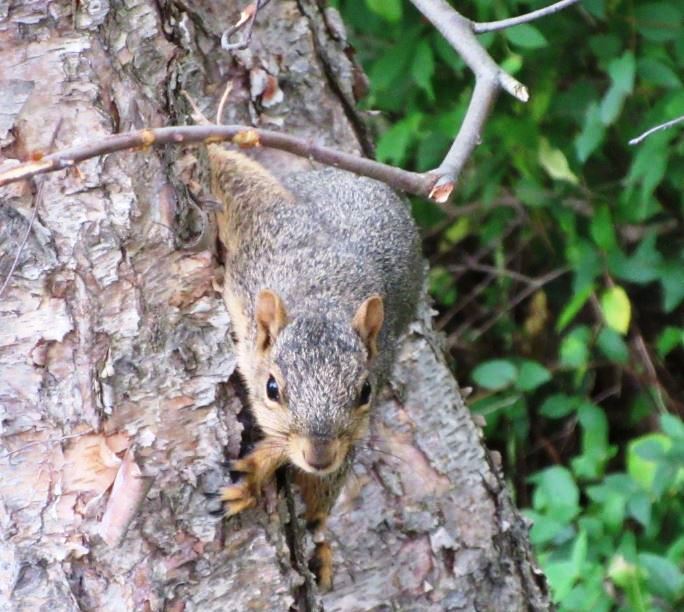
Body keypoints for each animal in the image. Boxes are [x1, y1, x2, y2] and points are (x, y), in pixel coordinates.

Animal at [207, 144, 423, 591]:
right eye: (271, 388)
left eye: (365, 391)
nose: (319, 455)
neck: (323, 295)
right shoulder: (265, 230)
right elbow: (230, 171)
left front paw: (254, 472)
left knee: (320, 510)